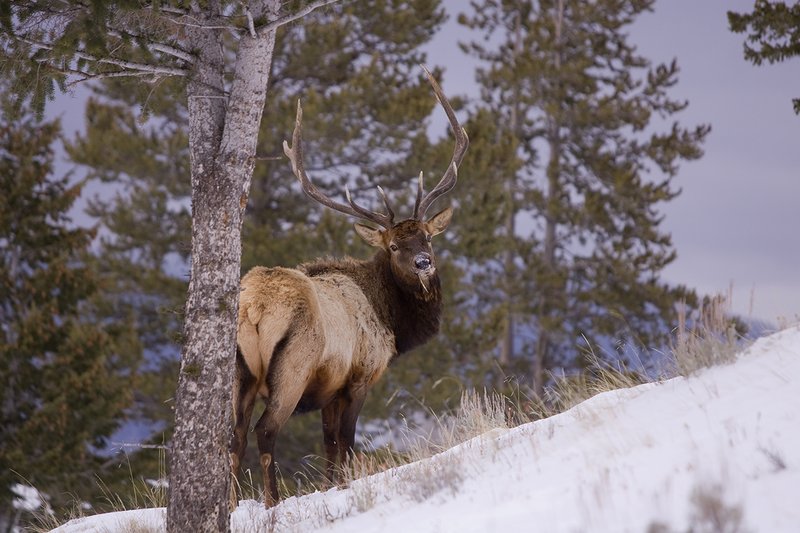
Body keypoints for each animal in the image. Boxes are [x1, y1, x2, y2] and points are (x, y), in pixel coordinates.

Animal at [230, 66, 468, 508]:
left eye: (427, 237)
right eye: (394, 246)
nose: (424, 264)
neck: (392, 321)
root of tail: (254, 308)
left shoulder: (329, 389)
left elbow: (328, 444)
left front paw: (330, 487)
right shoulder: (359, 377)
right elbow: (346, 441)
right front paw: (343, 490)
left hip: (241, 372)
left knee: (233, 438)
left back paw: (234, 505)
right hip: (292, 368)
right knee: (265, 431)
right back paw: (271, 504)